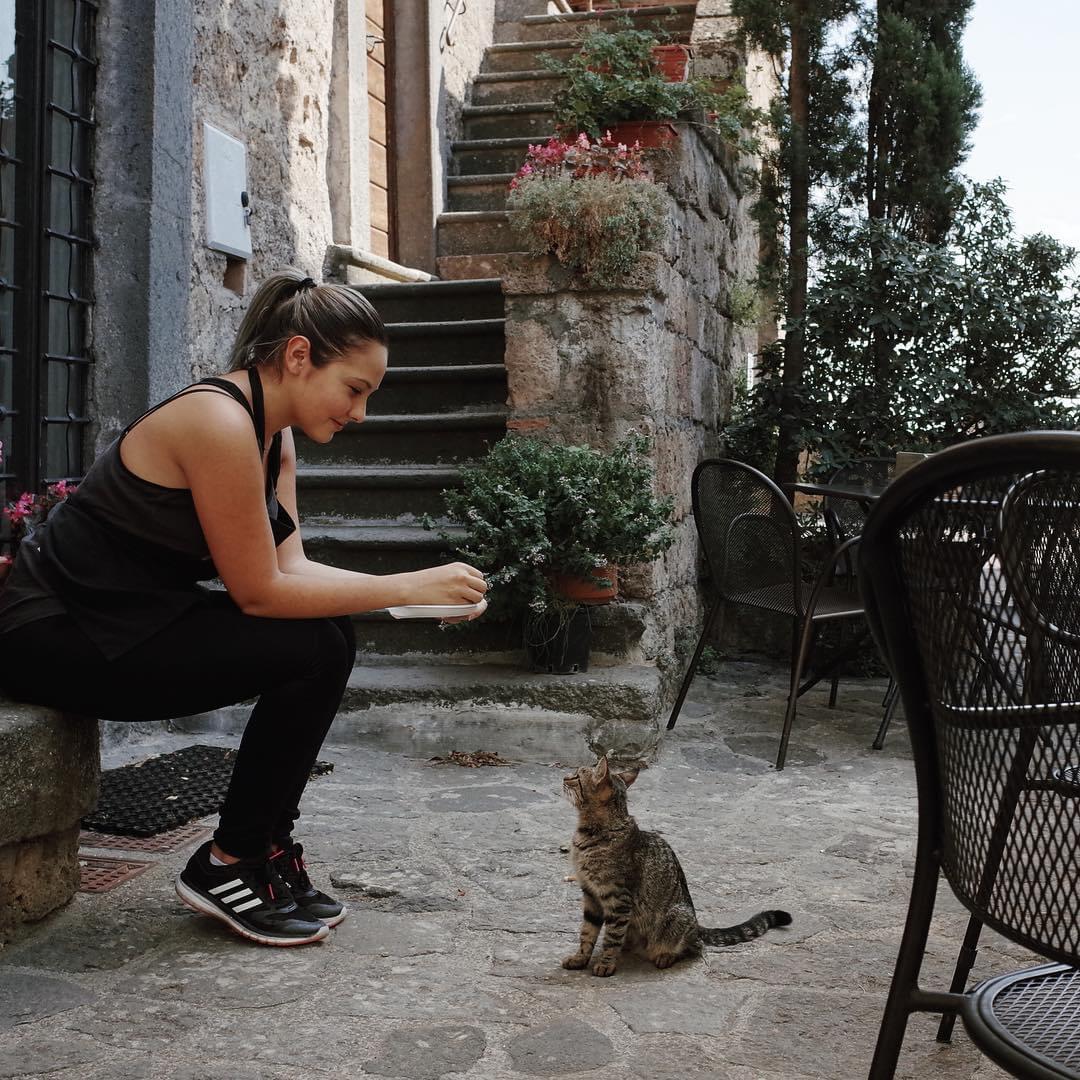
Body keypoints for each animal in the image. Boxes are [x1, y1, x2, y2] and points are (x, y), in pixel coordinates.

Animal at [561, 756, 790, 976]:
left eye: (577, 776)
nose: (564, 777)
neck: (589, 834)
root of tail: (696, 924)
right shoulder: (590, 895)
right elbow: (587, 932)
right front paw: (580, 958)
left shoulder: (618, 899)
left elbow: (612, 937)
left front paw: (606, 963)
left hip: (674, 919)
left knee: (696, 948)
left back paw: (665, 956)